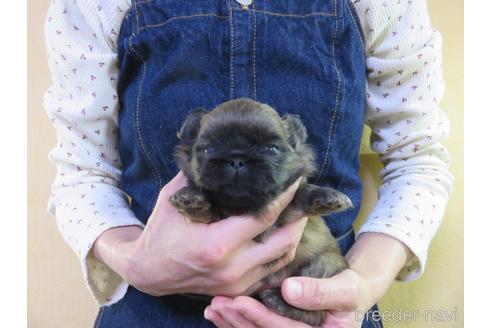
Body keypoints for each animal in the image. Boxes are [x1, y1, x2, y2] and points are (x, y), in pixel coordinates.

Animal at [171, 98, 352, 326]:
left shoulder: (286, 209)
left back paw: (279, 301)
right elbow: (208, 209)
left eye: (271, 149)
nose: (237, 159)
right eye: (207, 149)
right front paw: (192, 199)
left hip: (323, 264)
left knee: (315, 313)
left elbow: (300, 194)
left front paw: (326, 197)